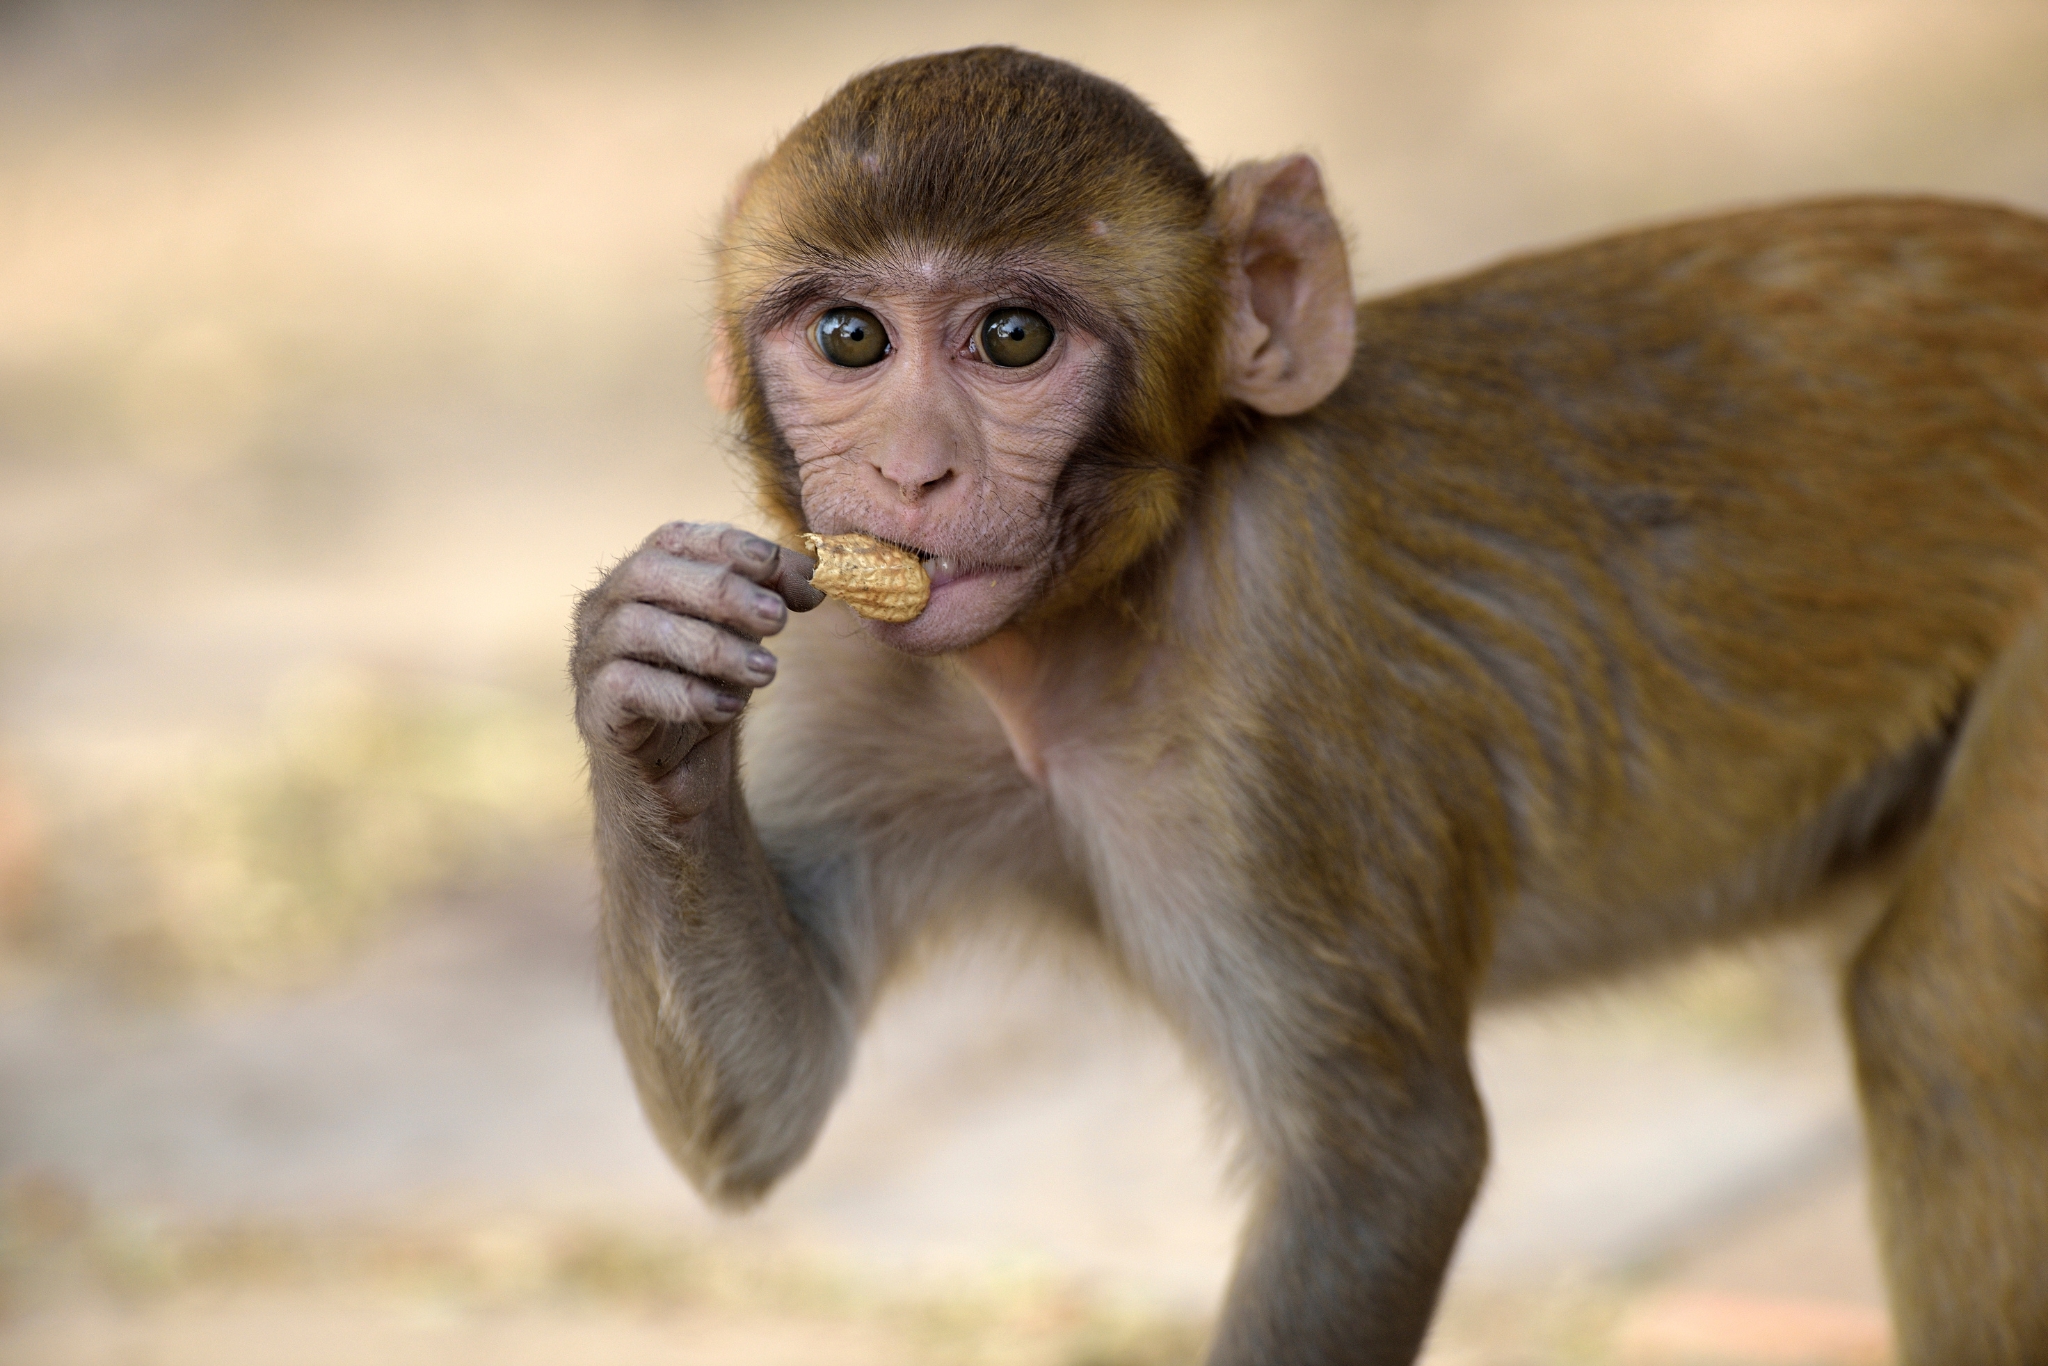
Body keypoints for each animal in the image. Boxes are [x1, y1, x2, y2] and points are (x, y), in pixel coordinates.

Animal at [569, 46, 2048, 1366]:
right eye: (851, 338)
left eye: (1012, 338)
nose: (910, 471)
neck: (1087, 627)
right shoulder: (872, 679)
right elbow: (768, 1110)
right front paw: (645, 683)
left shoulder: (1270, 720)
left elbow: (1385, 1161)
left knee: (1944, 1013)